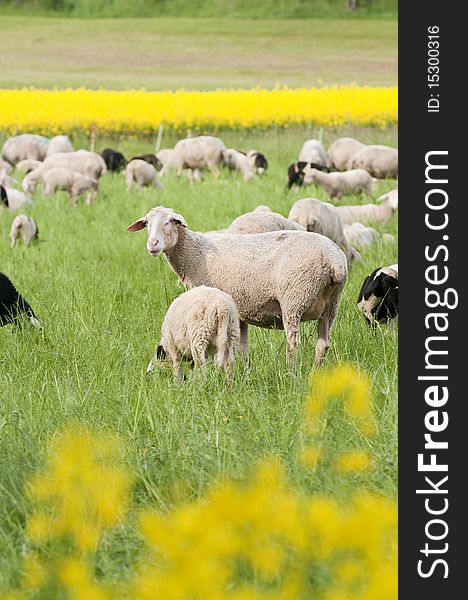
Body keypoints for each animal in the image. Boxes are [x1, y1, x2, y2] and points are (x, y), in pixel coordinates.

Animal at [128, 205, 348, 366]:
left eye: (170, 221)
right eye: (147, 223)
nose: (153, 244)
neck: (195, 253)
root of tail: (334, 261)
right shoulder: (240, 309)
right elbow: (242, 346)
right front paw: (245, 371)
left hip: (294, 298)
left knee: (294, 343)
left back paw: (290, 373)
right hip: (332, 304)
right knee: (323, 344)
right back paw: (315, 372)